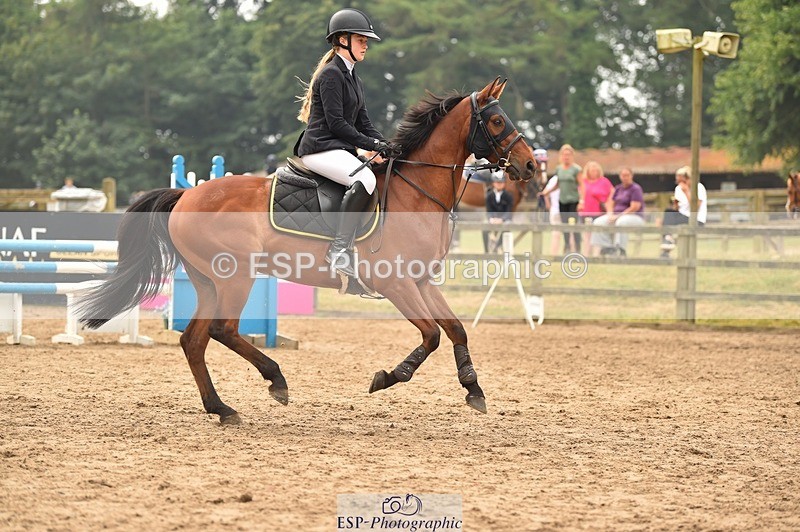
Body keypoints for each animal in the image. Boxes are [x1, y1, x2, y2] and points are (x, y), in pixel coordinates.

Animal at [76, 77, 537, 424]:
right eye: (497, 120)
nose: (531, 166)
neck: (417, 194)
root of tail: (187, 194)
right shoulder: (396, 283)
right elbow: (431, 335)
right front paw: (389, 376)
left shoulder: (422, 280)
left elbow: (455, 328)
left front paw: (474, 389)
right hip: (235, 275)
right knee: (222, 330)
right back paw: (275, 380)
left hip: (208, 280)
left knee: (194, 340)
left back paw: (222, 408)